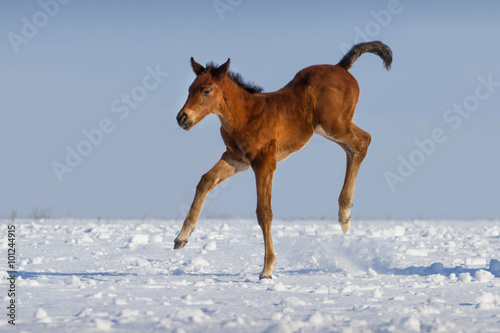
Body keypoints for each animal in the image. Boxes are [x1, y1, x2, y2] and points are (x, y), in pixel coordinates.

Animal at [174, 40, 392, 278]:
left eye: (206, 90)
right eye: (189, 89)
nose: (182, 117)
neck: (245, 114)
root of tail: (341, 67)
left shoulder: (264, 162)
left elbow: (264, 212)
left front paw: (267, 269)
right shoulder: (236, 158)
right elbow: (206, 180)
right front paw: (181, 237)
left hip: (334, 124)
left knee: (363, 141)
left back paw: (344, 214)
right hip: (326, 129)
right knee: (352, 149)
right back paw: (344, 214)